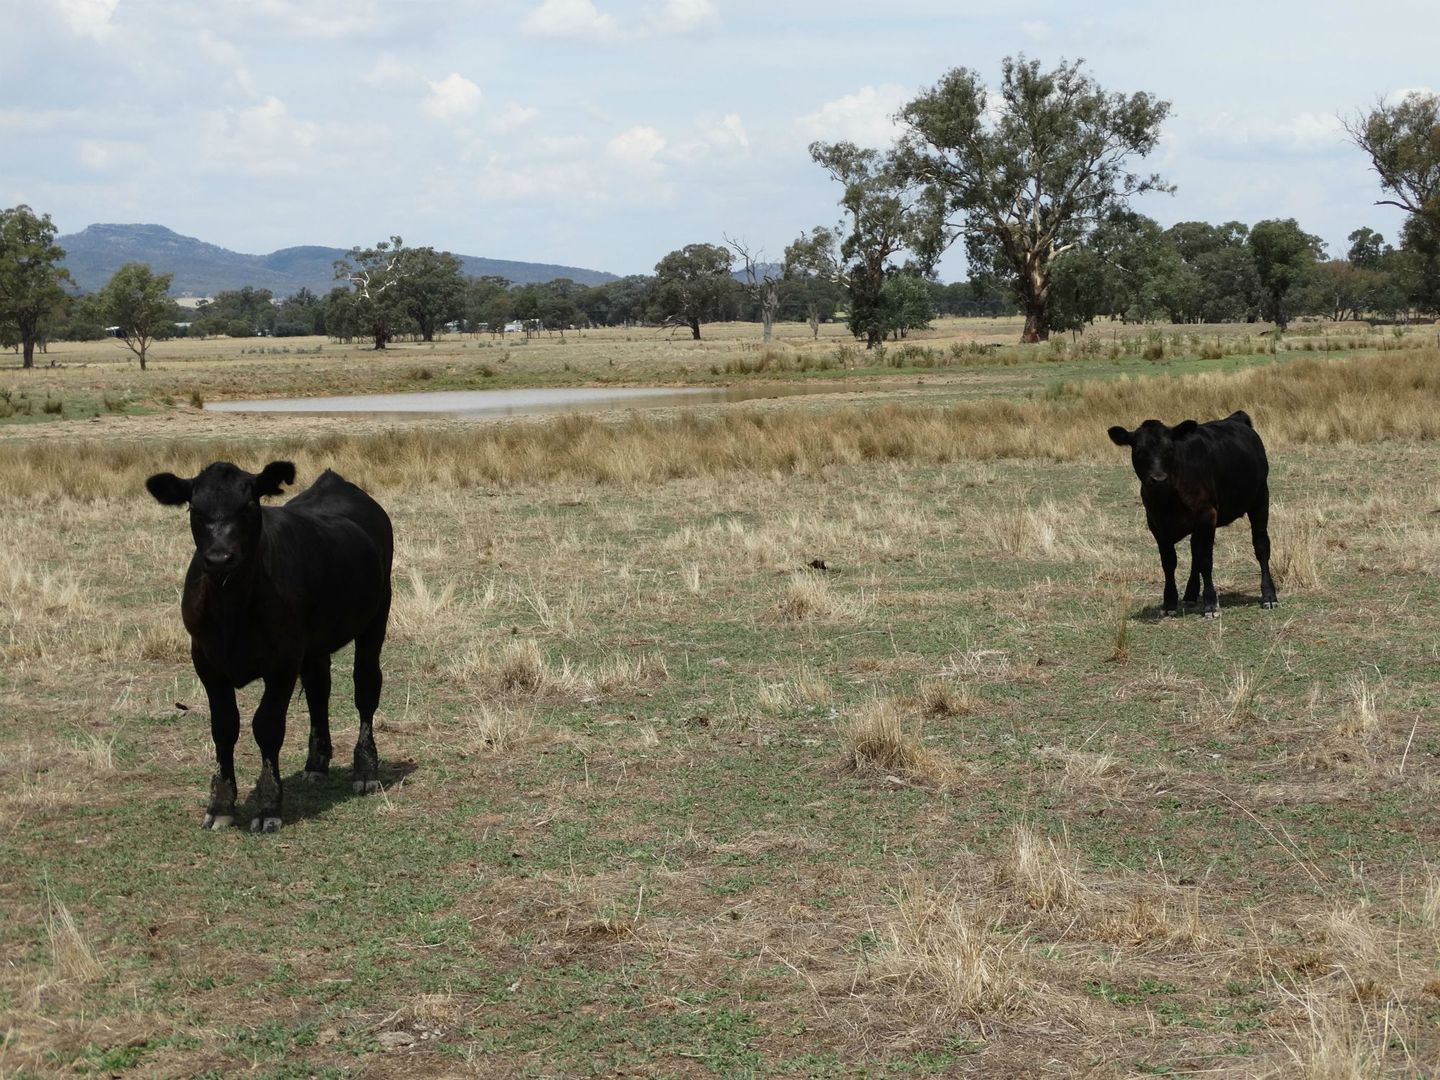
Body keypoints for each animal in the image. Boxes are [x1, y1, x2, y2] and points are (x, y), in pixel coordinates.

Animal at [147, 460, 394, 835]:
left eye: (249, 506)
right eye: (195, 509)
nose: (219, 558)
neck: (231, 610)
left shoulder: (283, 661)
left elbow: (267, 726)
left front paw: (267, 807)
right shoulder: (206, 661)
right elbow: (224, 727)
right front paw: (220, 805)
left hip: (375, 617)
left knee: (366, 686)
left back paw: (365, 769)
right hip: (315, 643)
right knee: (319, 690)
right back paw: (316, 764)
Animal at [1105, 411, 1278, 616]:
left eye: (1169, 449)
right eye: (1140, 452)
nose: (1158, 479)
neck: (1168, 499)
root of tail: (1236, 418)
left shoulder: (1207, 514)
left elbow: (1205, 560)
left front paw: (1210, 603)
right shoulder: (1156, 523)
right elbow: (1169, 561)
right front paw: (1169, 603)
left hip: (1260, 499)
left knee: (1261, 545)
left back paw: (1269, 596)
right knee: (1195, 550)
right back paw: (1190, 594)